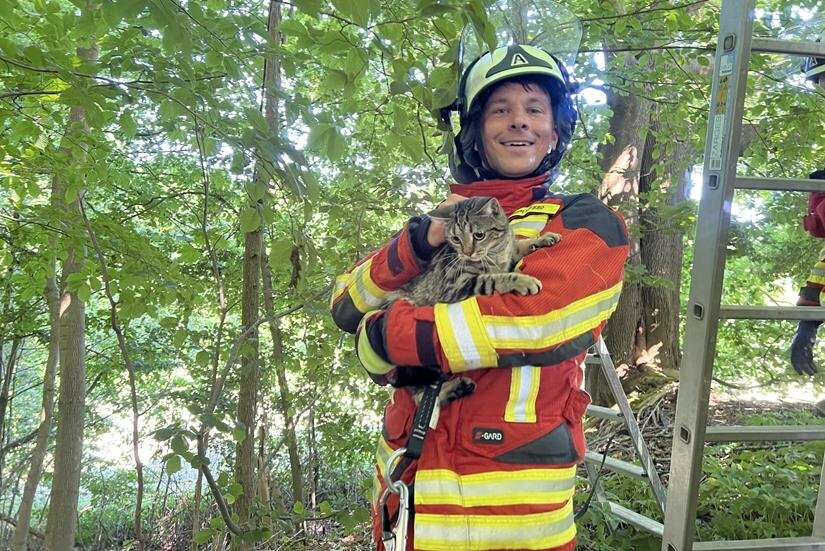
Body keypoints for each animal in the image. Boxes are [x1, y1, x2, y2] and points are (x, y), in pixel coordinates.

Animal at [386, 198, 560, 406]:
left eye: (479, 235)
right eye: (456, 239)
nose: (467, 253)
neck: (495, 253)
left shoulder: (508, 250)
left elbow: (518, 243)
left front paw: (542, 239)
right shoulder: (456, 286)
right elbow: (495, 278)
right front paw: (522, 280)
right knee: (420, 395)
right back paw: (453, 388)